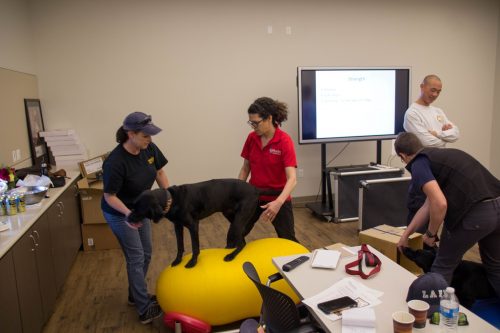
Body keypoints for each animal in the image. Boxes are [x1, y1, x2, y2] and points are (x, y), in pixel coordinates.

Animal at [128, 179, 278, 268]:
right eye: (133, 206)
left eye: (138, 209)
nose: (127, 218)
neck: (171, 200)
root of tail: (255, 189)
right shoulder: (178, 226)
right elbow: (179, 246)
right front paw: (177, 260)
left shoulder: (193, 225)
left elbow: (195, 247)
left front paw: (192, 262)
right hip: (233, 219)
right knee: (242, 238)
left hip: (237, 221)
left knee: (242, 243)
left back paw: (230, 256)